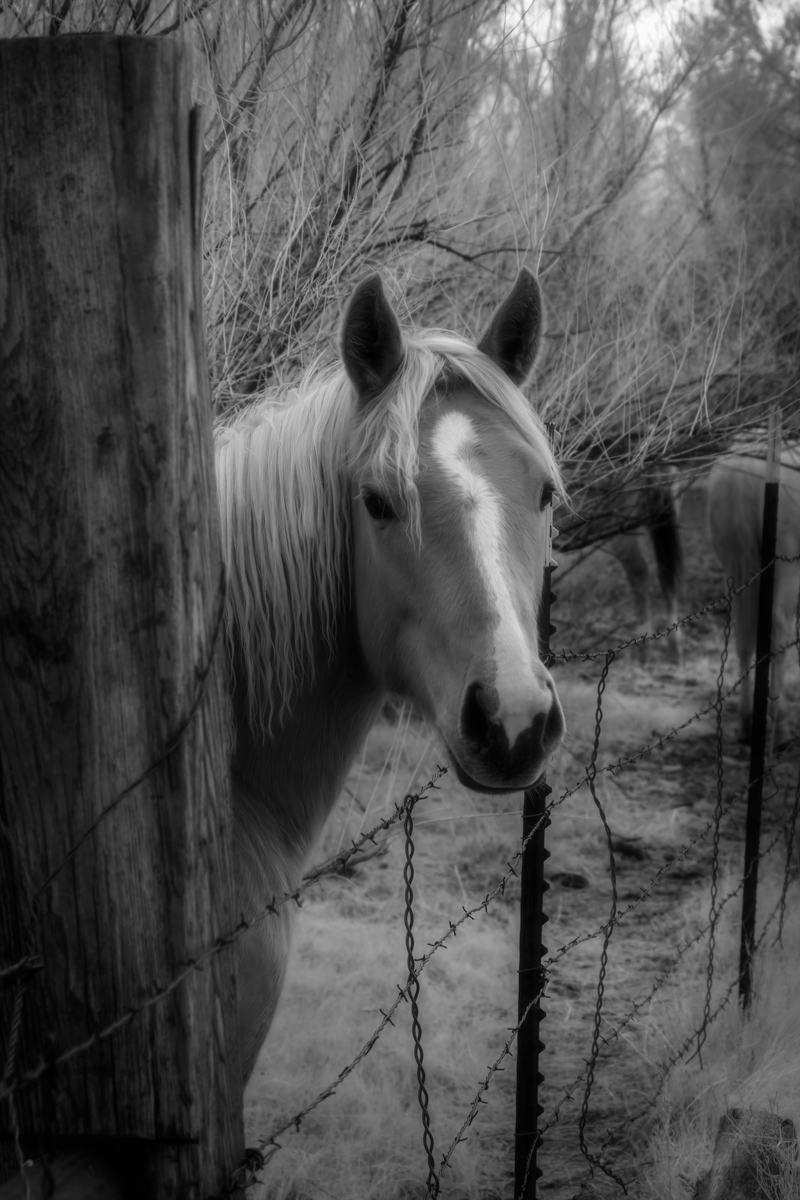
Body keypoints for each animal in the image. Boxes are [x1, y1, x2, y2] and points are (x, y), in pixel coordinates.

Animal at [707, 441, 800, 750]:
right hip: (786, 571)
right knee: (779, 634)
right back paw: (780, 726)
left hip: (737, 569)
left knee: (743, 639)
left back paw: (747, 722)